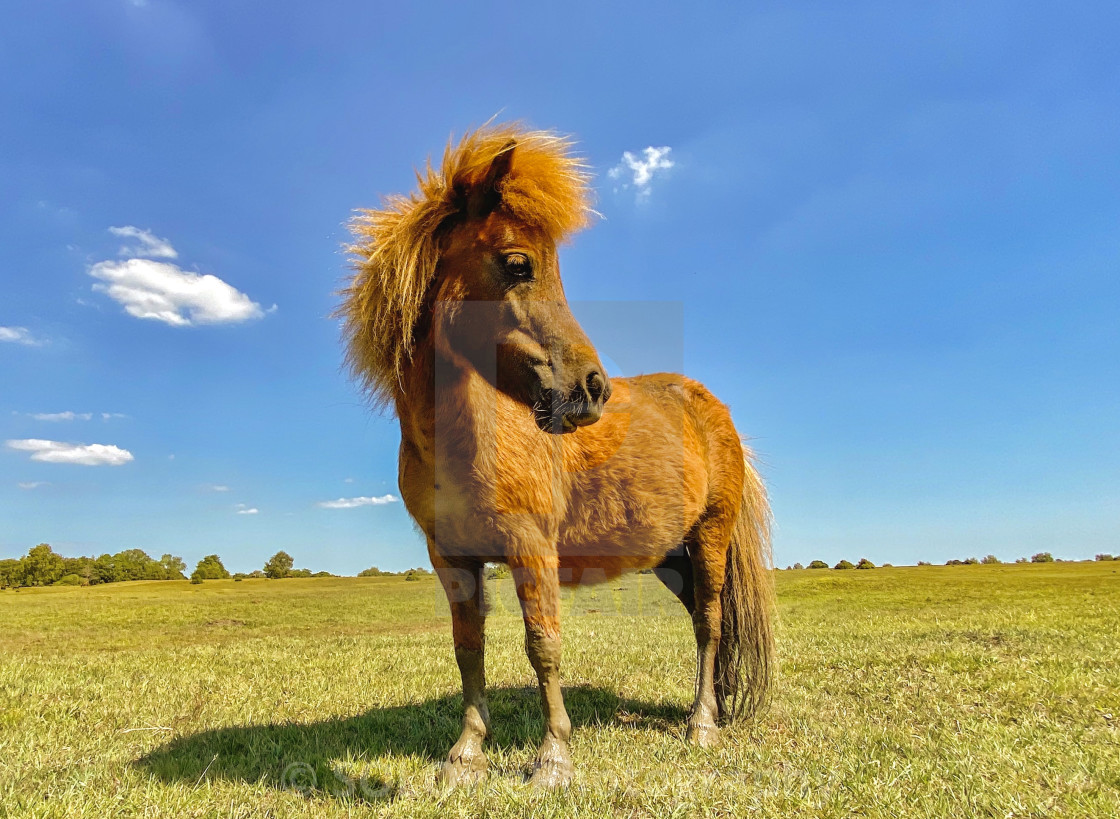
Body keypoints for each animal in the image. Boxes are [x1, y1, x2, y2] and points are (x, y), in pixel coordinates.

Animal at [336, 124, 775, 793]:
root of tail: (713, 411)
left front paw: (553, 759)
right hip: (672, 558)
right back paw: (712, 711)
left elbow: (543, 647)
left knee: (709, 622)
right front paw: (466, 755)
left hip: (710, 538)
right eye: (519, 264)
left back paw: (702, 726)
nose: (592, 389)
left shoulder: (531, 548)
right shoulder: (451, 557)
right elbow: (469, 648)